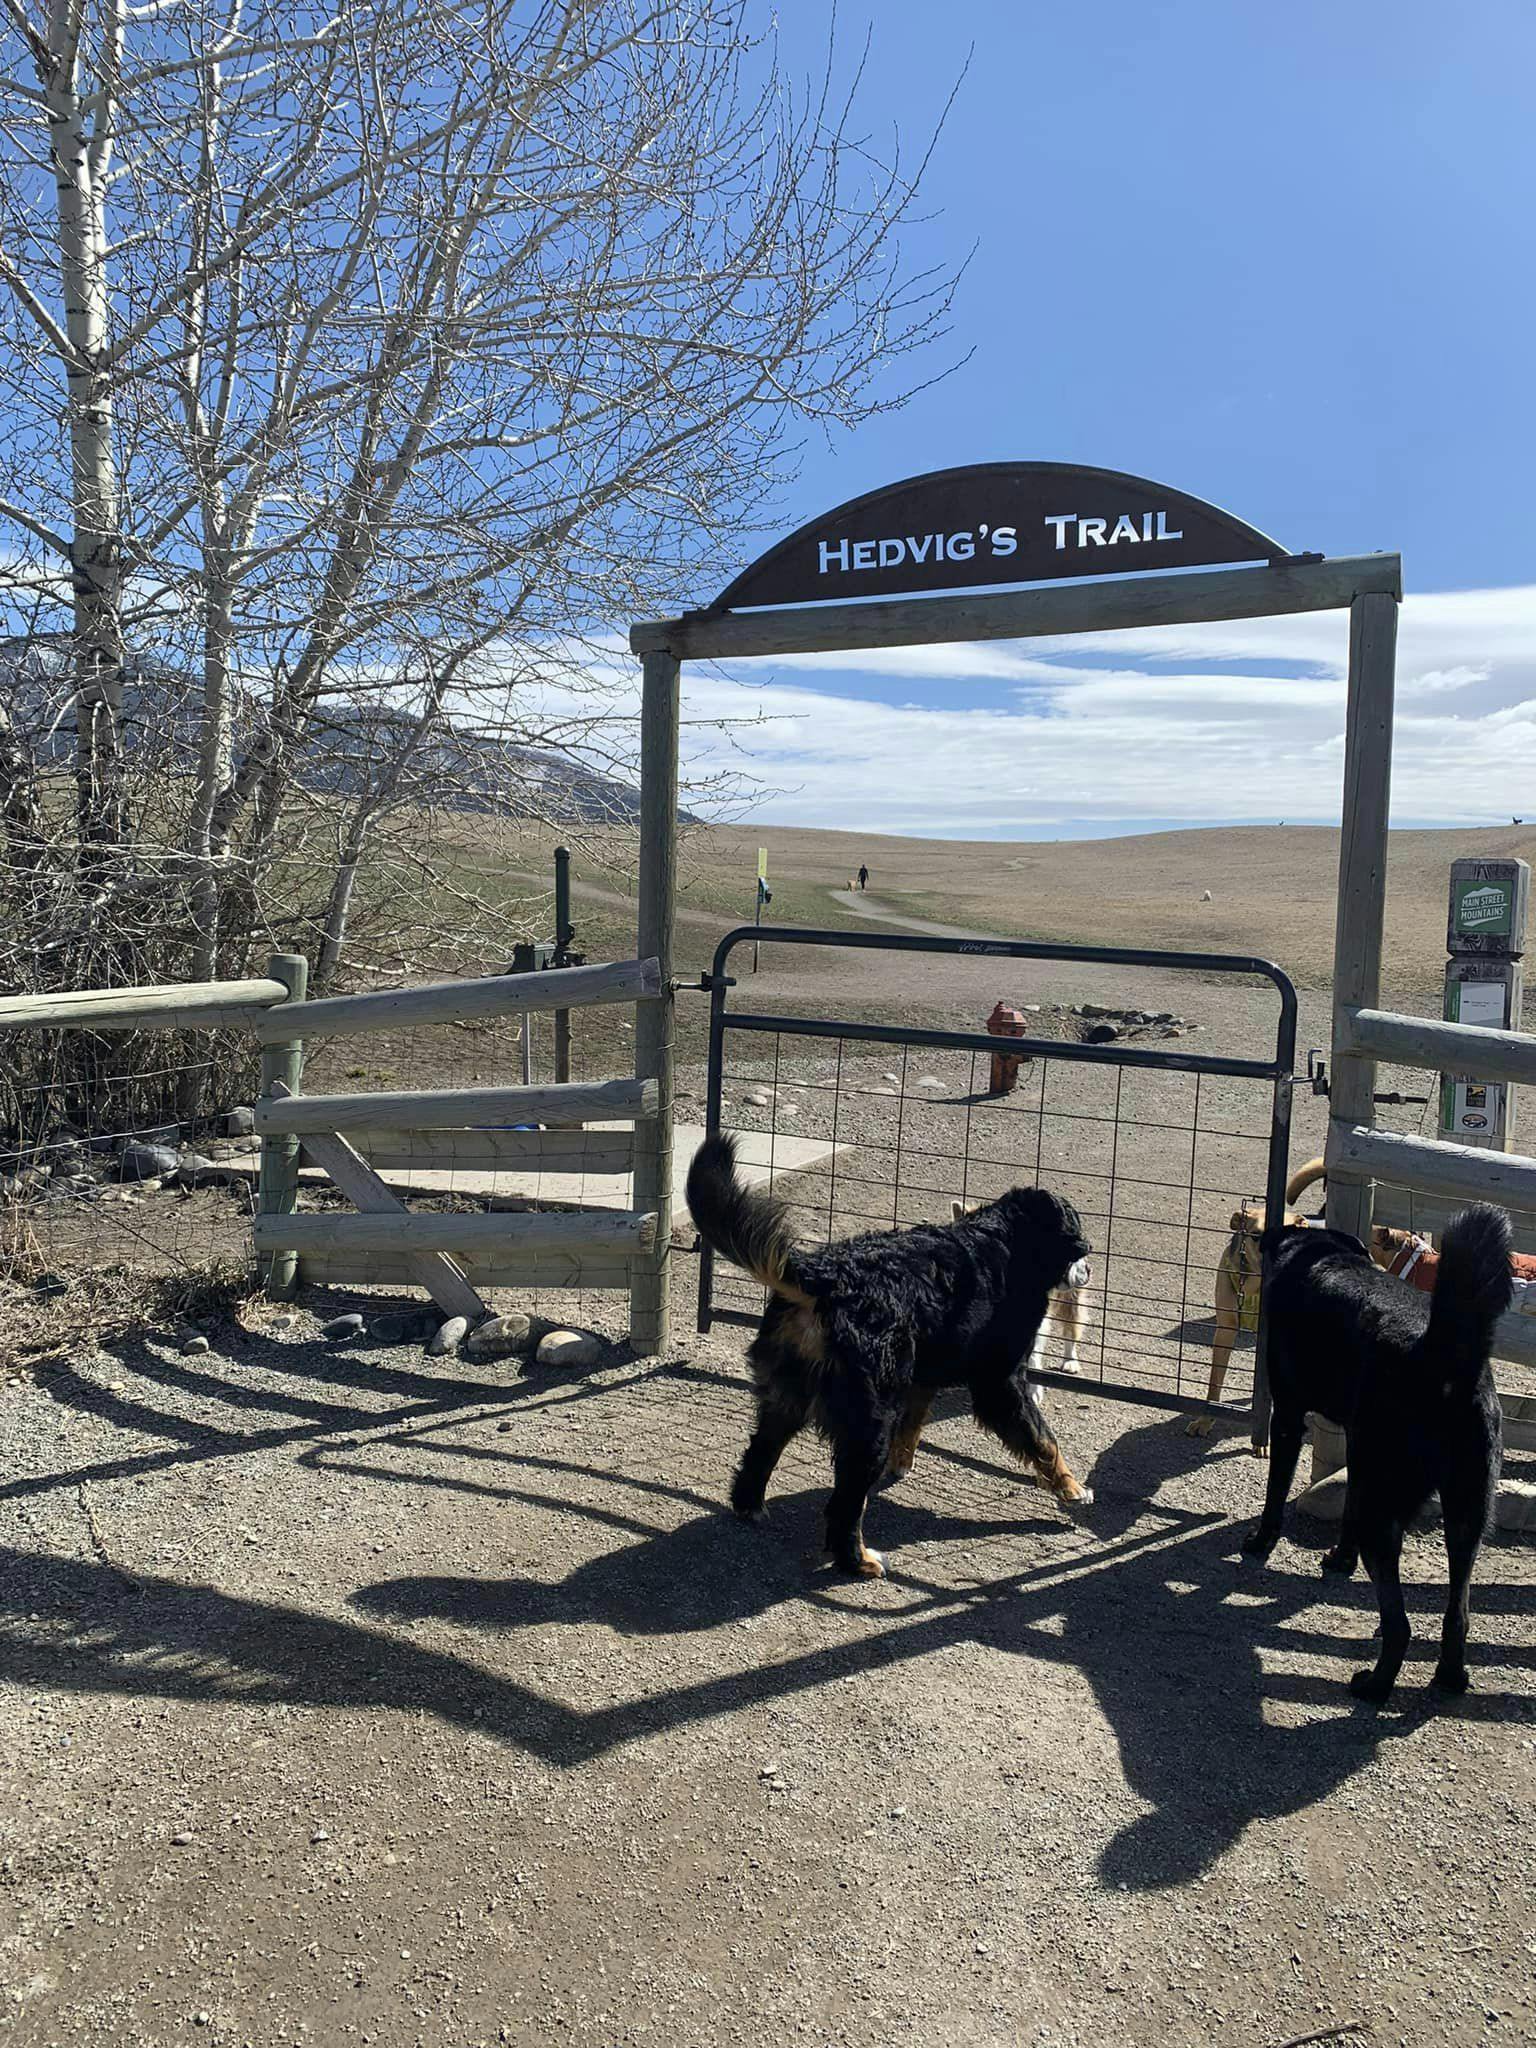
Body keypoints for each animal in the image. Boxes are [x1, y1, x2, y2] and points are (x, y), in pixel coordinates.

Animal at [684, 1130, 1097, 1572]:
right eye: (1080, 1244)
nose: (1089, 1269)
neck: (1006, 1243)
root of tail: (823, 1277)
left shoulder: (922, 1377)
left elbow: (912, 1426)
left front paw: (902, 1464)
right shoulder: (1000, 1383)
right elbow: (1044, 1439)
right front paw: (1071, 1488)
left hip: (787, 1395)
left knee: (760, 1453)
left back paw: (751, 1507)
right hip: (868, 1419)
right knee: (845, 1505)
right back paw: (858, 1560)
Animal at [1236, 1204, 1515, 1703]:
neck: (1320, 1253)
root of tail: (1443, 1360)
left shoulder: (1287, 1415)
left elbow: (1275, 1493)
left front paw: (1261, 1541)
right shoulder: (1357, 1441)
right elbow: (1346, 1506)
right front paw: (1340, 1559)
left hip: (1386, 1509)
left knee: (1400, 1624)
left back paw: (1375, 1686)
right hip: (1468, 1512)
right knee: (1457, 1613)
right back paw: (1449, 1678)